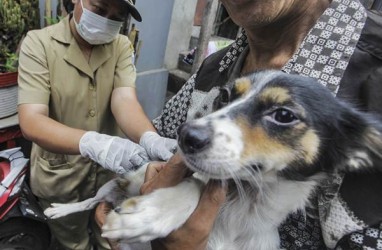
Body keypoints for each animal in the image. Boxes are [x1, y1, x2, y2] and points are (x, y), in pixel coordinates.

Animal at [43, 71, 380, 250]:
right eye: (225, 96)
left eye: (284, 115)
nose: (185, 136)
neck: (245, 204)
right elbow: (195, 184)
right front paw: (153, 212)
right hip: (112, 185)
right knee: (87, 202)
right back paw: (59, 209)